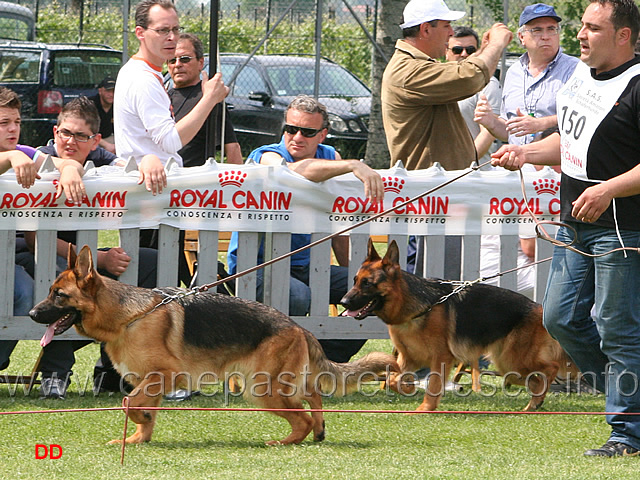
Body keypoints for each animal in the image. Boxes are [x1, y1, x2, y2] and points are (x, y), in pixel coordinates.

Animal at [32, 248, 400, 446]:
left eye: (58, 295)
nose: (33, 313)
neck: (129, 315)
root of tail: (297, 325)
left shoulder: (162, 376)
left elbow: (129, 404)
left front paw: (140, 424)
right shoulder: (149, 381)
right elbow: (141, 413)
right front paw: (138, 440)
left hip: (261, 390)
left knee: (302, 419)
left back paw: (283, 442)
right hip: (277, 384)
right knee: (313, 396)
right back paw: (318, 430)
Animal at [340, 240, 576, 412]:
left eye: (367, 283)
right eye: (355, 280)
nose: (343, 302)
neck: (416, 307)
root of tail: (538, 308)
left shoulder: (441, 358)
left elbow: (433, 385)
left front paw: (425, 409)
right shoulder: (408, 358)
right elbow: (391, 379)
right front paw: (407, 387)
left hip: (514, 361)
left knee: (550, 368)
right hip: (508, 365)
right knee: (536, 380)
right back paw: (534, 404)